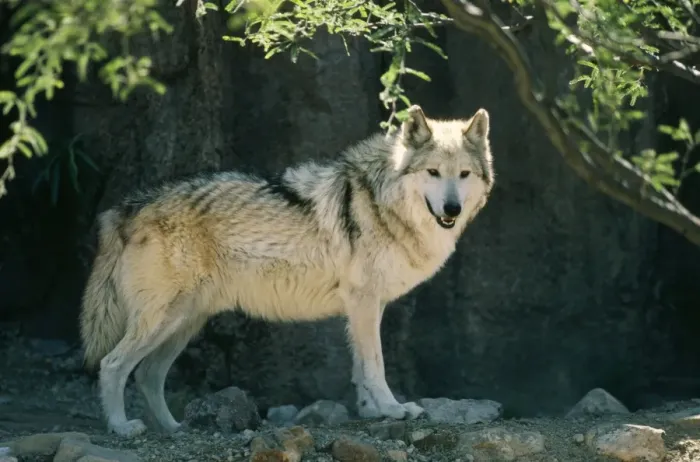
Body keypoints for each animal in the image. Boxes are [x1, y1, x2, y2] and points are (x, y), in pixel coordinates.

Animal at [80, 105, 495, 437]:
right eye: (433, 172)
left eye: (463, 174)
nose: (452, 209)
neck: (382, 203)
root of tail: (126, 208)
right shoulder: (363, 301)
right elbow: (375, 365)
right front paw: (393, 409)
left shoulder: (367, 306)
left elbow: (361, 368)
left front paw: (370, 411)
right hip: (164, 320)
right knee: (113, 365)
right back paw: (121, 428)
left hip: (183, 323)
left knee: (148, 374)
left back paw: (173, 428)